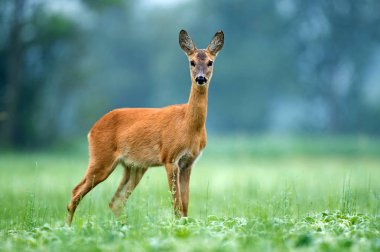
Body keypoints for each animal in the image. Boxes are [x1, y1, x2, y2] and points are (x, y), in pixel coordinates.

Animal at [67, 29, 224, 224]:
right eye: (192, 62)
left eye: (210, 62)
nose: (200, 78)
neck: (188, 126)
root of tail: (92, 129)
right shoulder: (170, 158)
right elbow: (176, 204)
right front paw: (176, 226)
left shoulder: (188, 163)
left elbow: (185, 205)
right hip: (101, 158)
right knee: (76, 192)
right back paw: (68, 227)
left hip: (134, 167)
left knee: (115, 201)